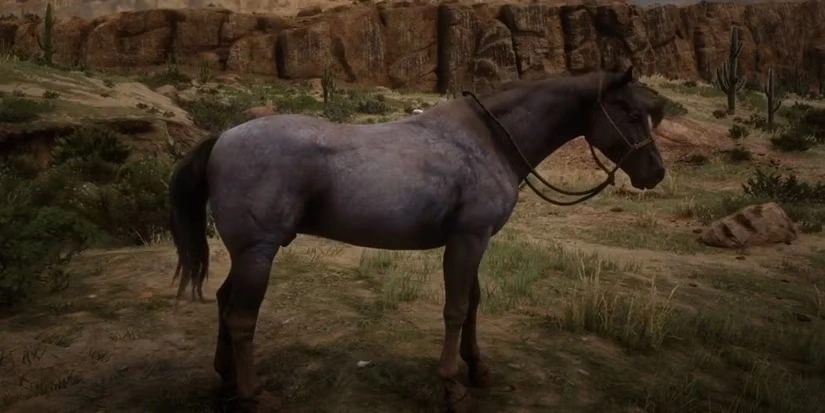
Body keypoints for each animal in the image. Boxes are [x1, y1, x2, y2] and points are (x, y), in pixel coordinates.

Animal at [168, 66, 668, 413]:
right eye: (629, 112)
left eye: (649, 114)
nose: (656, 173)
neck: (488, 140)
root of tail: (222, 138)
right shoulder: (467, 240)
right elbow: (456, 309)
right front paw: (451, 384)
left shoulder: (476, 240)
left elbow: (473, 304)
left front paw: (477, 368)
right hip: (258, 254)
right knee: (241, 319)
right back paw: (254, 394)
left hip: (246, 255)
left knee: (224, 302)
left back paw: (227, 382)